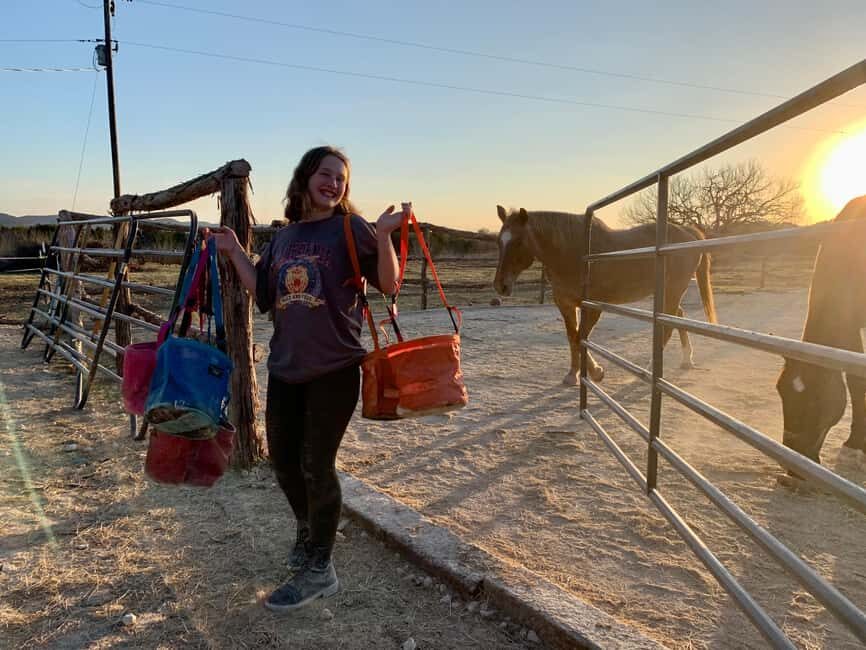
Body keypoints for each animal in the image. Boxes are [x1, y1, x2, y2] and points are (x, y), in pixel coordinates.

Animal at [493, 206, 717, 385]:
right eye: (499, 242)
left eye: (519, 242)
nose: (500, 286)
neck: (574, 254)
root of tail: (688, 233)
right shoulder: (565, 304)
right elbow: (572, 337)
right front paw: (573, 375)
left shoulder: (593, 306)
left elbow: (581, 337)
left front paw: (596, 372)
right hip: (667, 292)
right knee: (678, 316)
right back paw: (686, 360)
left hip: (673, 290)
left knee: (668, 326)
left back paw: (648, 371)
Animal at [776, 195, 866, 464]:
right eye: (780, 391)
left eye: (817, 399)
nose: (792, 465)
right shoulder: (849, 325)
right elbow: (856, 380)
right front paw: (856, 442)